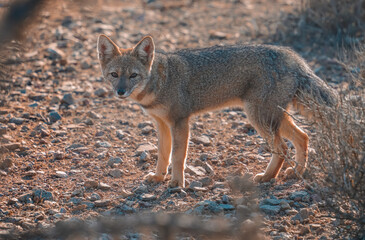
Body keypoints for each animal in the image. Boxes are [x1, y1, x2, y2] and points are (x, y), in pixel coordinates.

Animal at [95, 34, 336, 188]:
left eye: (133, 75)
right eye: (114, 75)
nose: (120, 91)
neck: (161, 81)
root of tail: (293, 56)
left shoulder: (180, 122)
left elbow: (178, 156)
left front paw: (176, 183)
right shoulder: (161, 124)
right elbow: (163, 154)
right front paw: (157, 177)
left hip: (259, 117)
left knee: (283, 147)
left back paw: (267, 177)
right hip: (273, 117)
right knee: (302, 137)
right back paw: (296, 172)